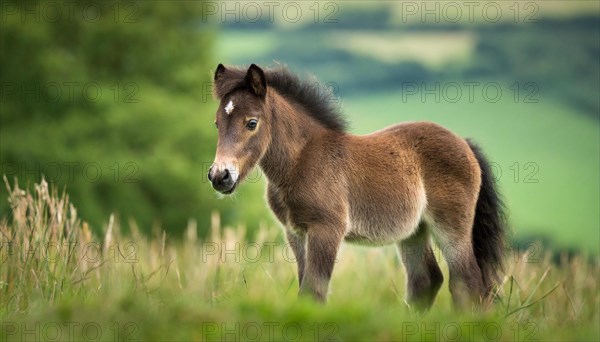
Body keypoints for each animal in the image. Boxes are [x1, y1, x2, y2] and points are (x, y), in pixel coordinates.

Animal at [207, 63, 506, 310]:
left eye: (252, 123)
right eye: (217, 123)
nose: (220, 176)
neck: (301, 161)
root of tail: (464, 142)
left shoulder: (327, 229)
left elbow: (314, 291)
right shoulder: (296, 232)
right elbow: (305, 291)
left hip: (451, 225)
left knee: (467, 282)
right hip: (414, 231)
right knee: (426, 280)